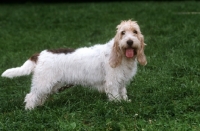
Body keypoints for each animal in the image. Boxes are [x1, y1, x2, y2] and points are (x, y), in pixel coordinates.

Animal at [1, 20, 147, 110]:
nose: (129, 42)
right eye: (122, 33)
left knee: (39, 96)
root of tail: (39, 55)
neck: (120, 54)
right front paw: (118, 105)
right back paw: (30, 110)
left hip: (50, 84)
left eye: (135, 31)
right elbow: (115, 96)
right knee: (31, 96)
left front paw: (125, 101)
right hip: (43, 82)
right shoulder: (112, 82)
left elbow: (123, 92)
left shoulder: (121, 81)